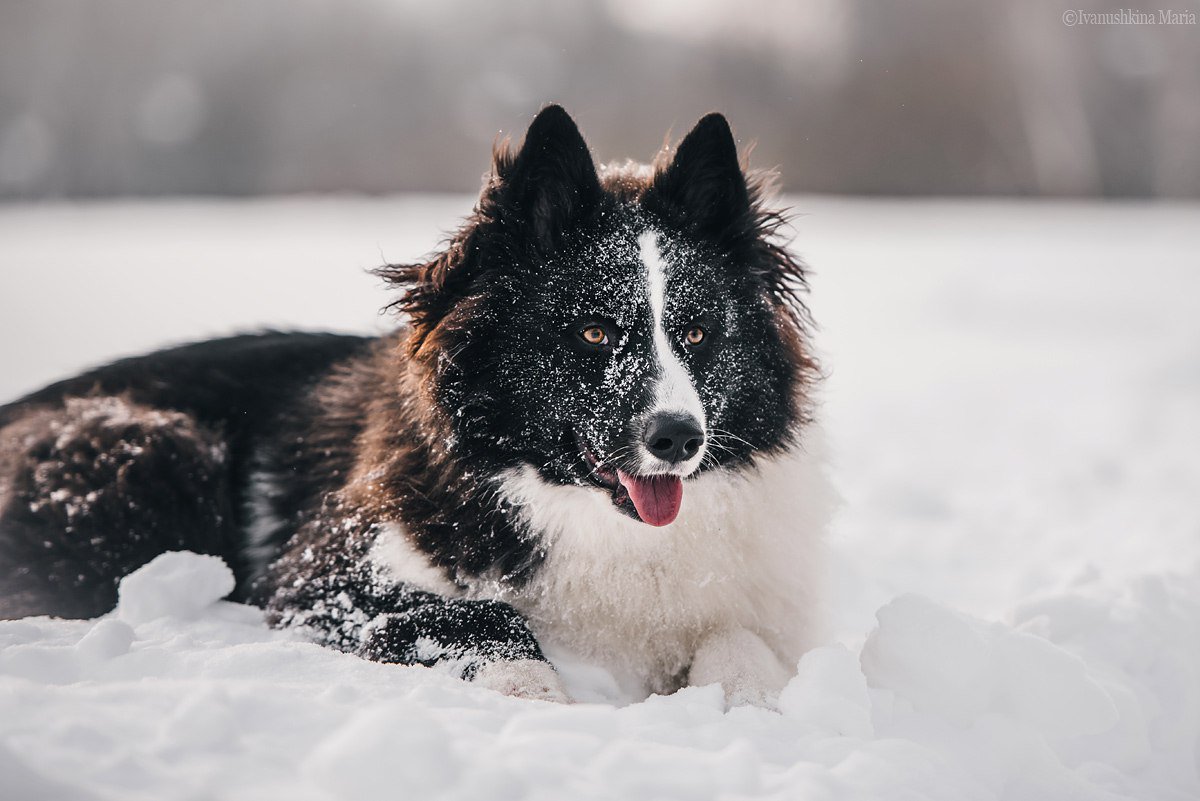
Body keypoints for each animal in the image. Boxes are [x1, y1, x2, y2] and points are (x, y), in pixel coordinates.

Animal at [0, 107, 825, 705]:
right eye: (593, 332)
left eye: (697, 333)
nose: (679, 438)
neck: (593, 520)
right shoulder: (325, 581)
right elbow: (475, 612)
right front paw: (530, 689)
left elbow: (742, 640)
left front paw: (741, 701)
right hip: (153, 447)